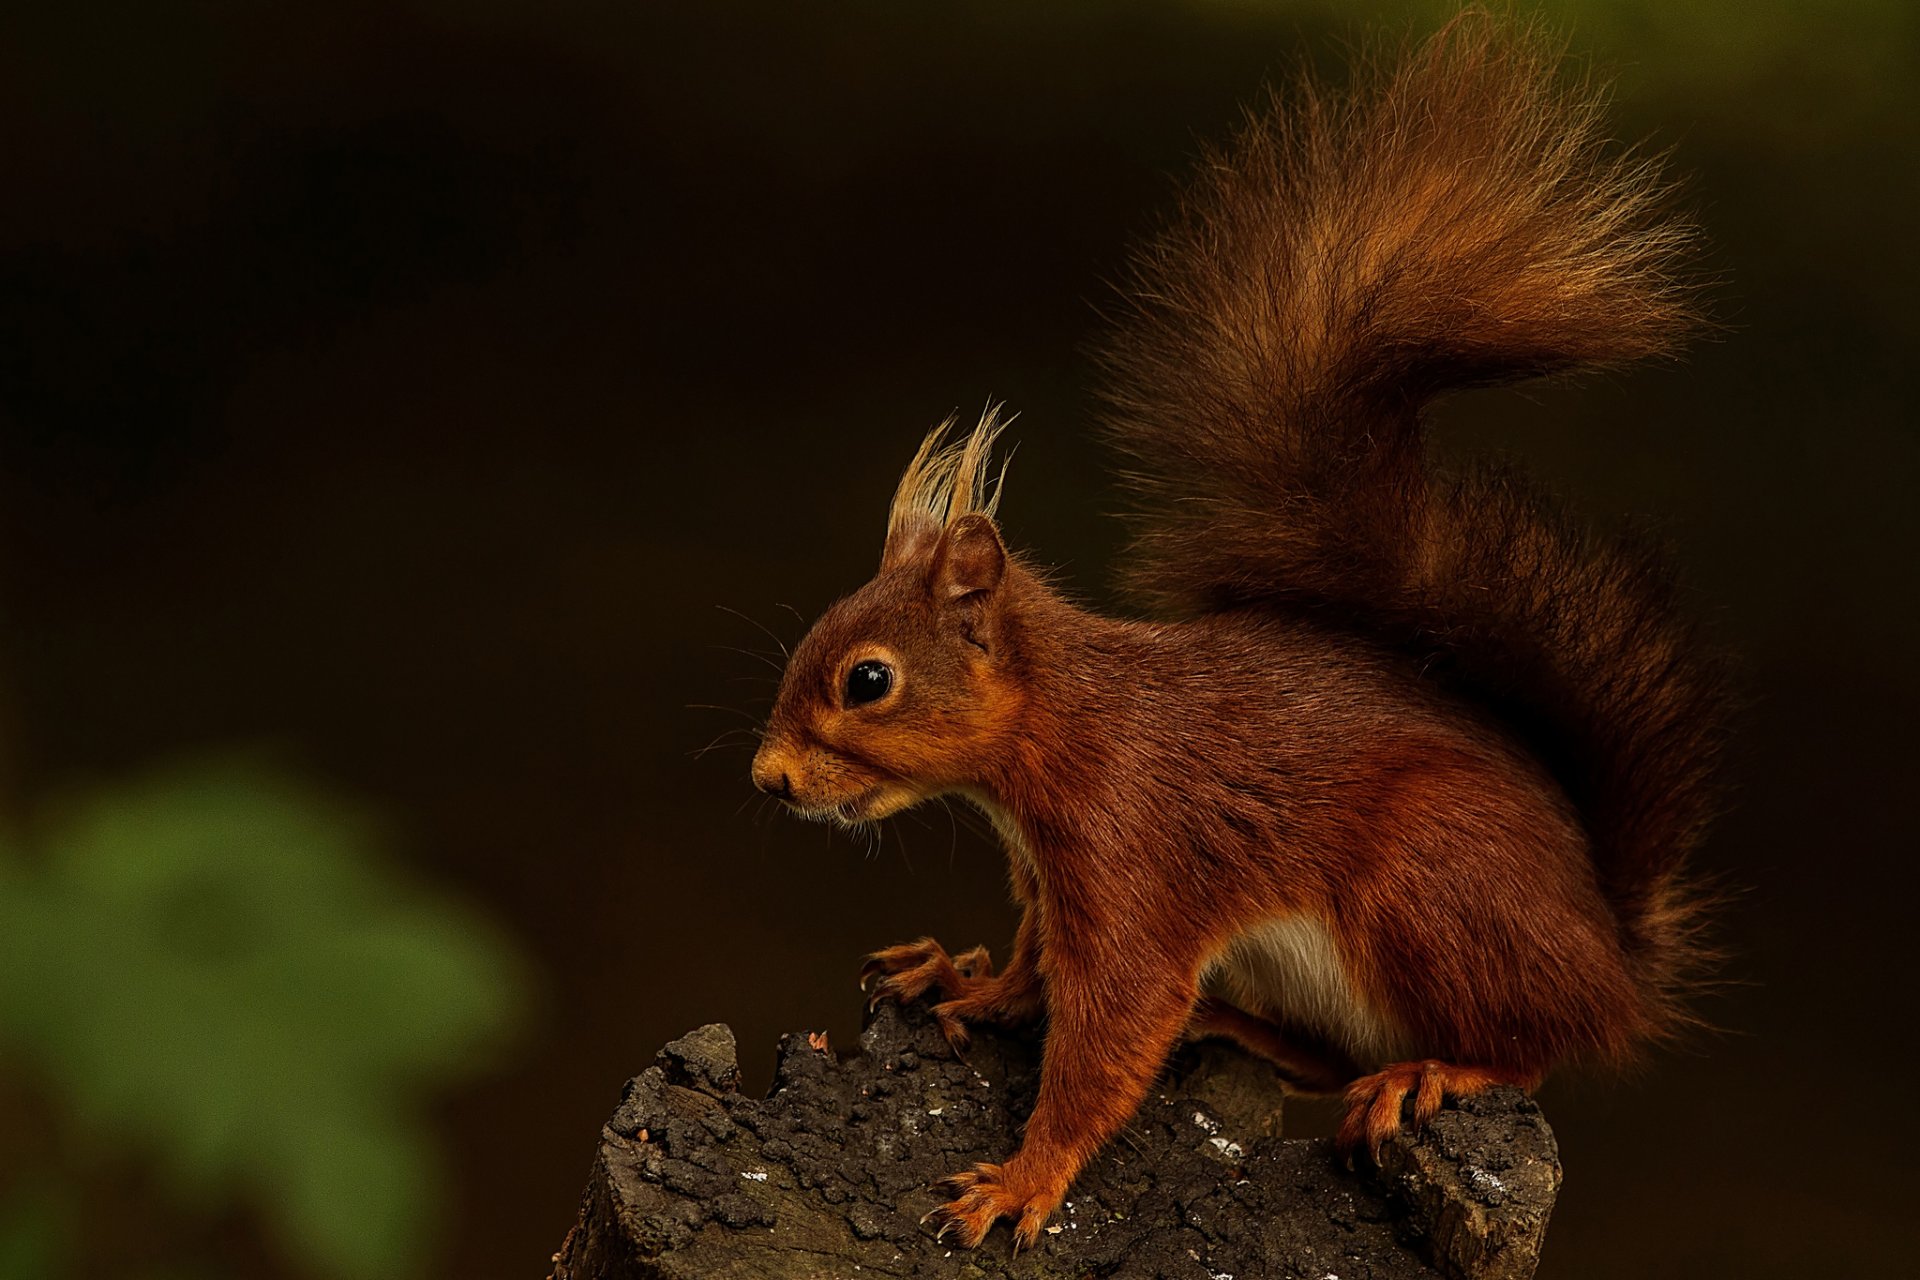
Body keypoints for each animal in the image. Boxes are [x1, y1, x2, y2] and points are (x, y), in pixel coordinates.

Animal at [748, 12, 1727, 1251]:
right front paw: (965, 982)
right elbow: (1035, 967)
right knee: (1323, 1050)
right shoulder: (1052, 882)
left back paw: (1436, 1071)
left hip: (1430, 885)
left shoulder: (1134, 856)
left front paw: (1022, 1179)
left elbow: (1109, 1031)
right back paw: (1239, 1028)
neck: (1054, 736)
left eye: (867, 679)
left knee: (1531, 1048)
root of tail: (1612, 955)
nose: (768, 777)